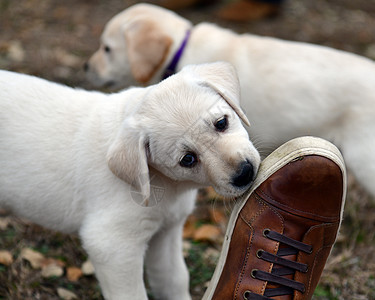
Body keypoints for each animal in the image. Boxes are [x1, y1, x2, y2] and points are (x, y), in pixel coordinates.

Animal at [0, 61, 262, 300]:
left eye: (221, 123)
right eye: (187, 159)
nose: (244, 173)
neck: (166, 187)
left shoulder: (166, 232)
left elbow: (174, 280)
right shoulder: (112, 245)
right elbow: (132, 294)